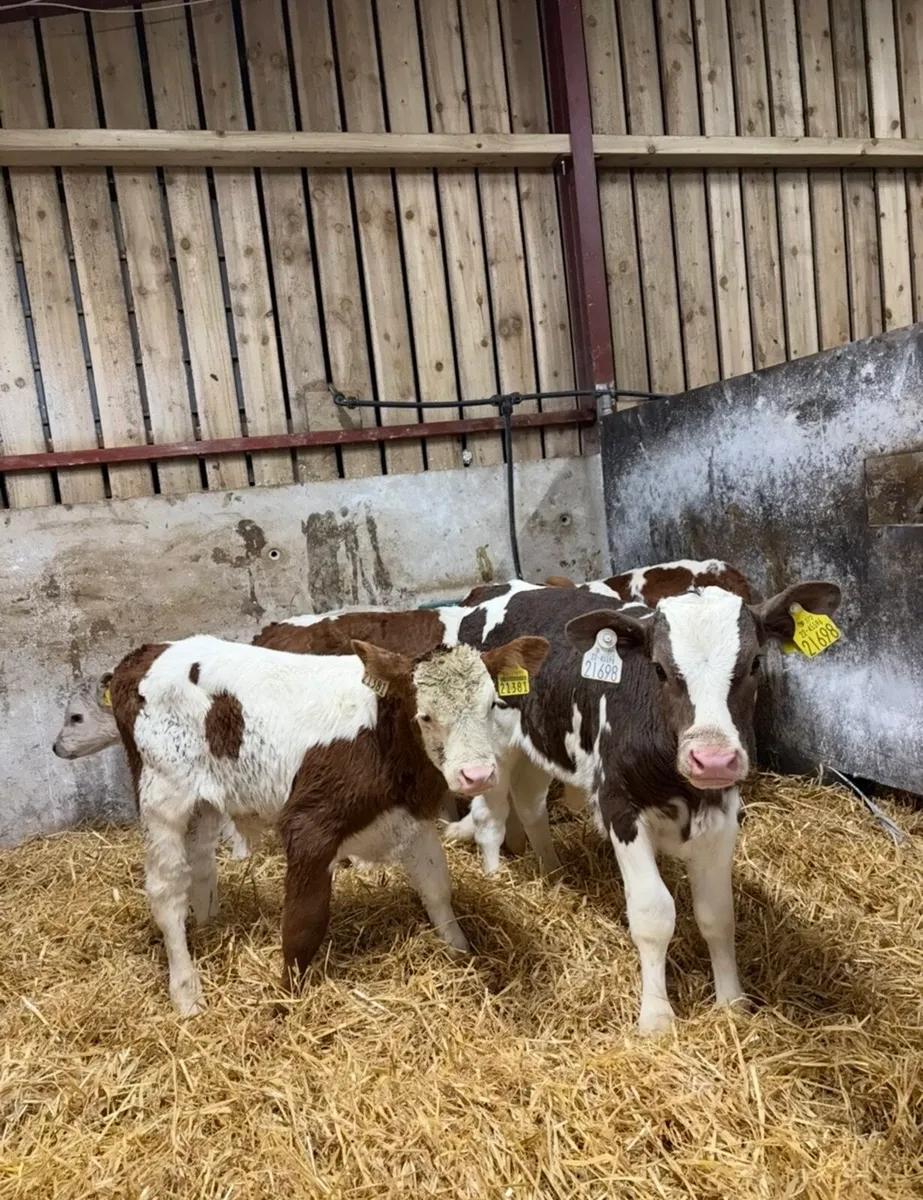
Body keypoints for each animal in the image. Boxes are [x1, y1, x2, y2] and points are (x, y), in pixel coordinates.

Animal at [53, 631, 549, 1016]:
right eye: (425, 715)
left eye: (493, 705)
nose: (477, 775)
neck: (381, 734)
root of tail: (145, 653)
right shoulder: (309, 823)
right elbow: (304, 921)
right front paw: (286, 998)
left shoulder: (411, 816)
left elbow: (437, 891)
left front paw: (461, 952)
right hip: (163, 794)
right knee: (166, 891)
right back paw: (187, 993)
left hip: (204, 802)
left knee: (201, 867)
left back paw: (211, 928)